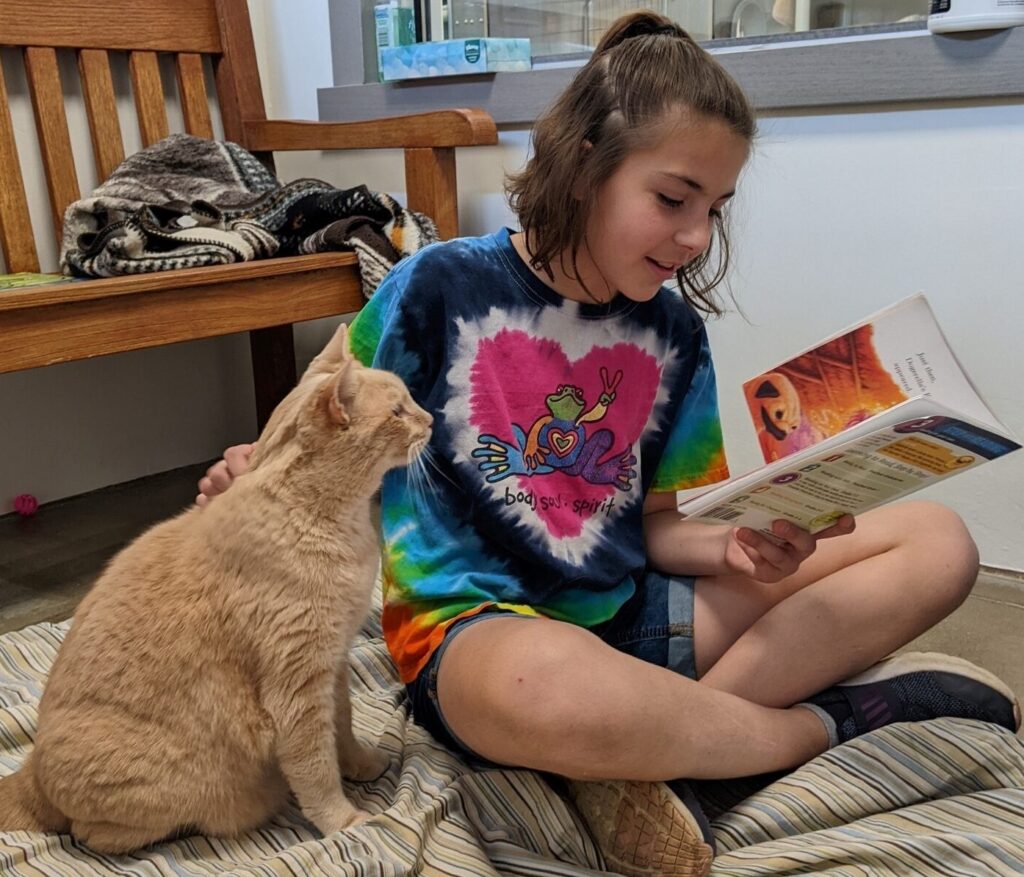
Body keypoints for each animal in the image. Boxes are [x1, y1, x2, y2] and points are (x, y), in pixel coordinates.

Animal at [0, 321, 428, 848]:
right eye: (397, 411)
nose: (430, 420)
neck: (335, 522)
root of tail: (30, 773)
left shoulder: (333, 664)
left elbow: (342, 728)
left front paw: (361, 763)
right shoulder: (298, 685)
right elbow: (316, 768)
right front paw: (342, 821)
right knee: (89, 834)